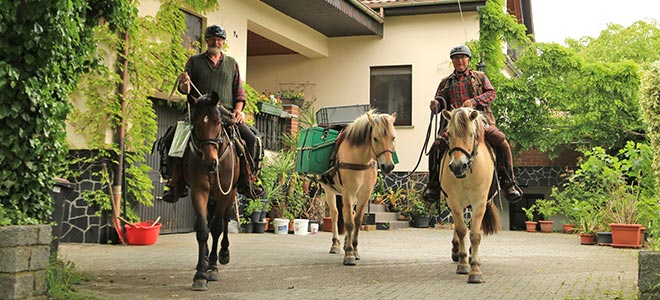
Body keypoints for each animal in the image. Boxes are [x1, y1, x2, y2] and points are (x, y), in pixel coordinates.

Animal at [183, 91, 240, 290]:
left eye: (217, 122)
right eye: (195, 122)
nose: (210, 162)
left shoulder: (225, 194)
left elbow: (216, 229)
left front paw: (213, 268)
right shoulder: (199, 191)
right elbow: (202, 230)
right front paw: (200, 274)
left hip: (229, 196)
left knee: (224, 221)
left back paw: (222, 254)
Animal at [320, 109, 398, 264]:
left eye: (393, 138)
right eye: (375, 138)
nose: (388, 166)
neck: (361, 160)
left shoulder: (364, 194)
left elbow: (357, 221)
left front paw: (354, 249)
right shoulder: (348, 192)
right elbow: (349, 223)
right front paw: (349, 254)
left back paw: (345, 243)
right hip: (330, 191)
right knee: (335, 215)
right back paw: (336, 244)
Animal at [438, 108, 500, 284]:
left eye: (472, 134)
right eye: (449, 134)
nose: (458, 166)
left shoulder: (479, 201)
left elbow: (475, 234)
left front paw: (475, 270)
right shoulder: (454, 201)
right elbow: (461, 230)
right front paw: (463, 263)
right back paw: (457, 251)